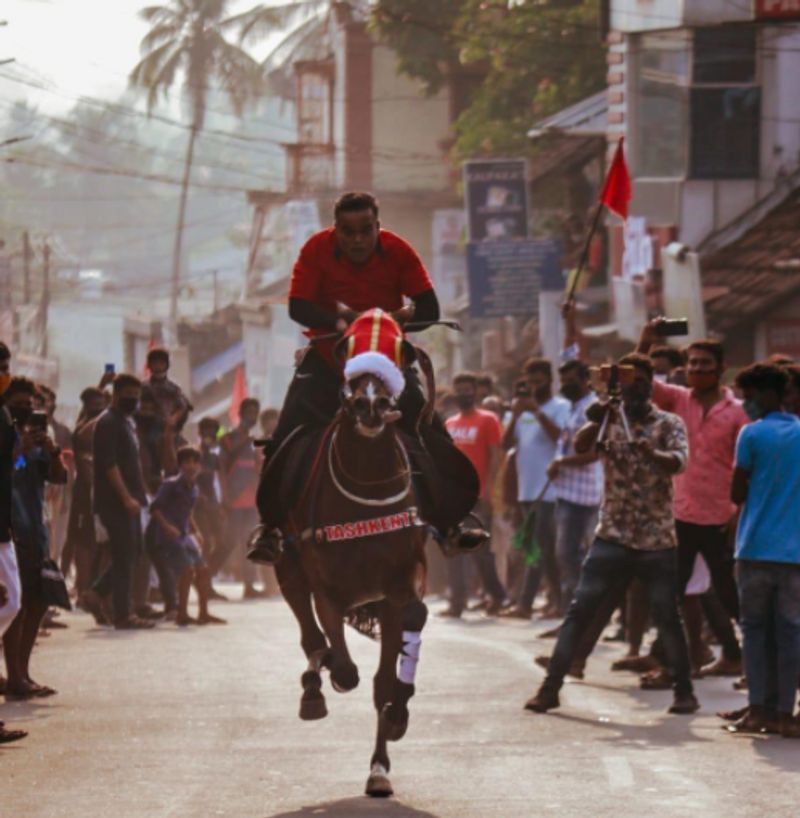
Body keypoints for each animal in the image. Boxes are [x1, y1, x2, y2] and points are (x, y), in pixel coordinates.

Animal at [268, 364, 432, 796]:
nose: (370, 404)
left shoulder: (396, 590)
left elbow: (383, 682)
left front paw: (381, 762)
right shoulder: (327, 588)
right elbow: (345, 668)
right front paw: (330, 673)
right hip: (288, 566)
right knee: (311, 634)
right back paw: (315, 681)